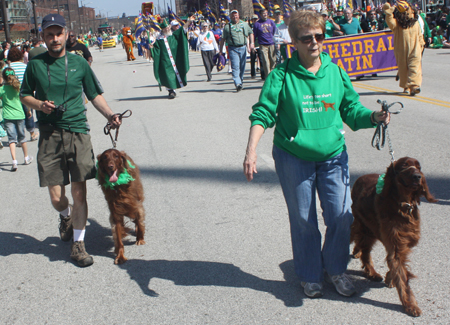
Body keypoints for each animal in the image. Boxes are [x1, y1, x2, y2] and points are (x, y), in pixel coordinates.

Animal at [352, 156, 436, 316]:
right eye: (404, 166)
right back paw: (371, 271)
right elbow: (401, 276)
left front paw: (390, 278)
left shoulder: (402, 242)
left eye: (419, 167)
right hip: (364, 226)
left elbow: (395, 265)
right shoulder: (395, 243)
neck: (403, 205)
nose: (418, 176)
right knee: (362, 246)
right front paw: (410, 305)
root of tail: (360, 177)